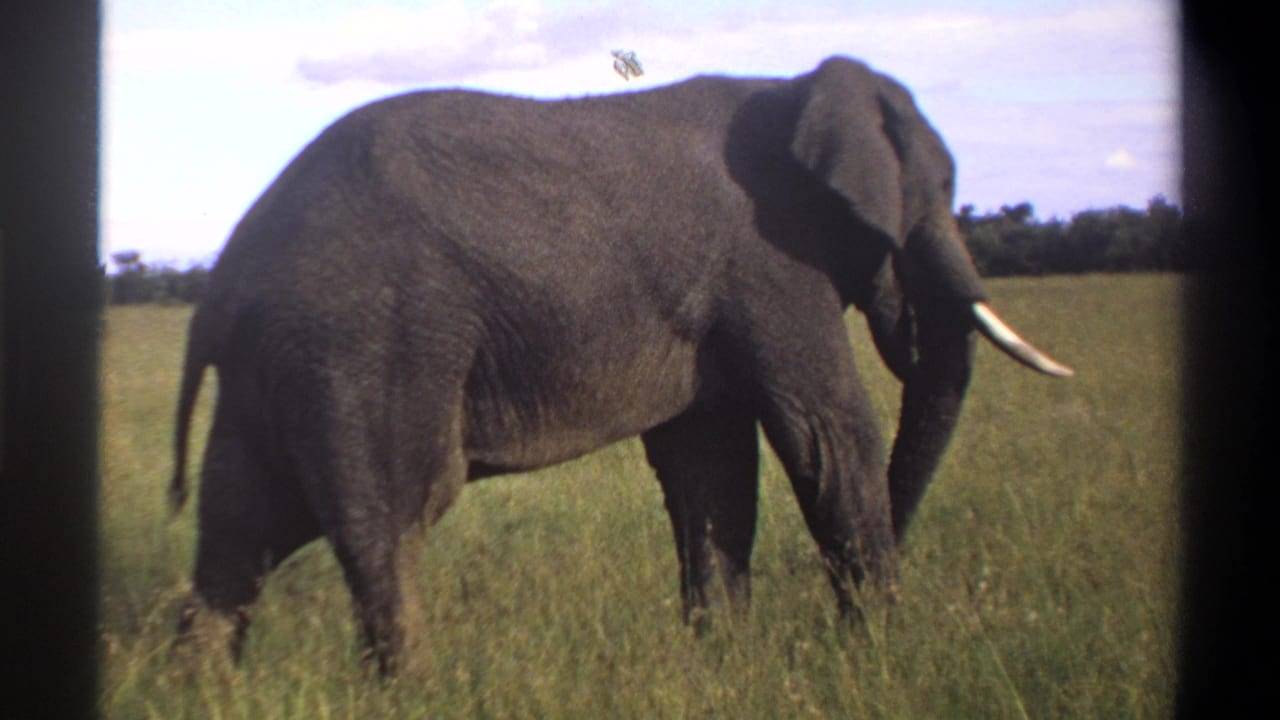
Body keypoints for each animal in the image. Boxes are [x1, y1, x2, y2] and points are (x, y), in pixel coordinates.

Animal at [170, 55, 1071, 674]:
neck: (795, 89)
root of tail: (225, 280)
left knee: (238, 536)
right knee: (389, 520)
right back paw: (415, 689)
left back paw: (206, 689)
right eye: (940, 196)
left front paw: (722, 662)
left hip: (279, 365)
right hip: (366, 346)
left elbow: (711, 465)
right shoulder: (772, 265)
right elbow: (827, 433)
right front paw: (882, 654)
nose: (838, 627)